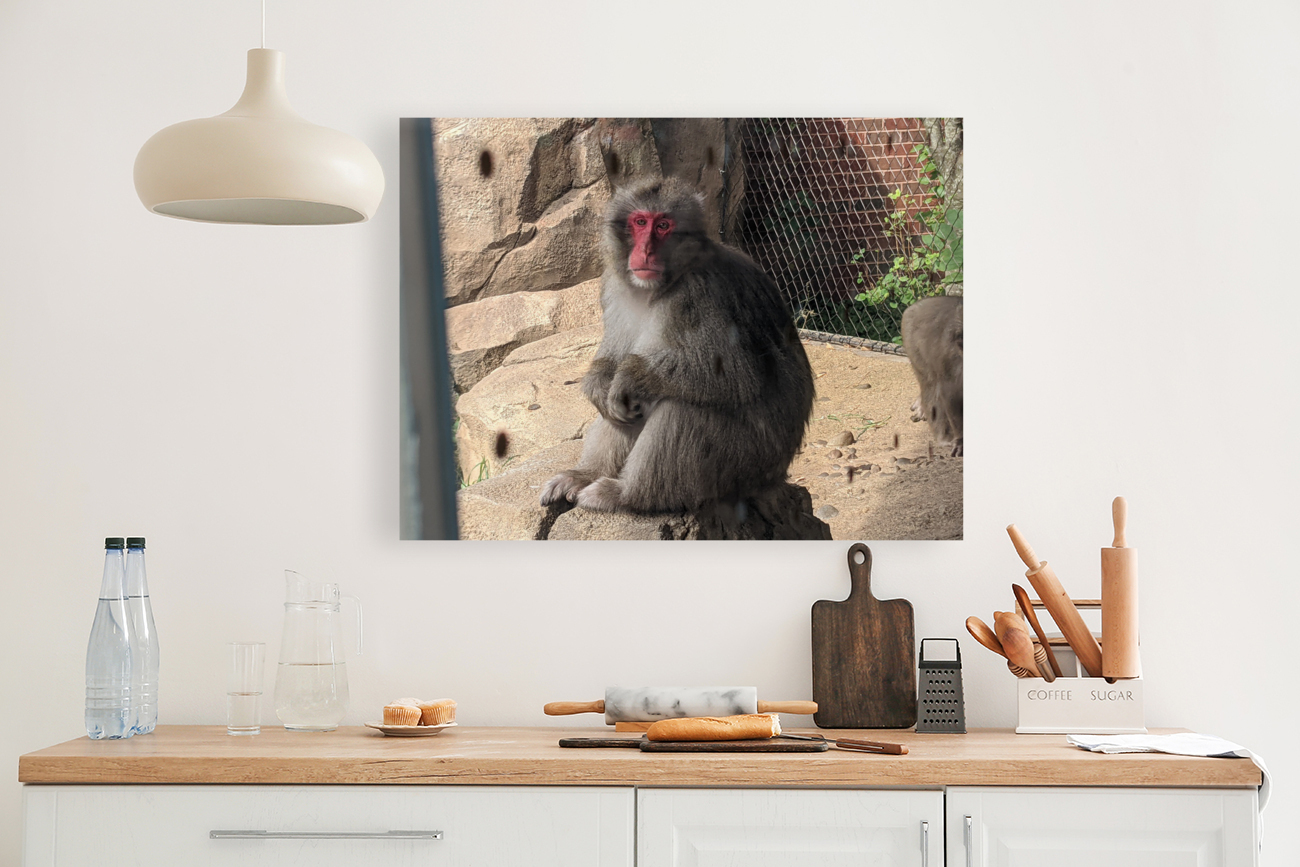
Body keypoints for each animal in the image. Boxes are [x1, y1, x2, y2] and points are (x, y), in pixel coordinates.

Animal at [539, 177, 815, 514]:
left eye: (663, 226)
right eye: (640, 222)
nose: (645, 251)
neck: (661, 286)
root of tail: (777, 475)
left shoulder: (701, 294)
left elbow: (737, 376)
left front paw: (629, 377)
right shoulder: (614, 286)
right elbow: (613, 360)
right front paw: (598, 383)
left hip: (747, 463)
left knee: (681, 407)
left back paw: (627, 494)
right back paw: (586, 475)